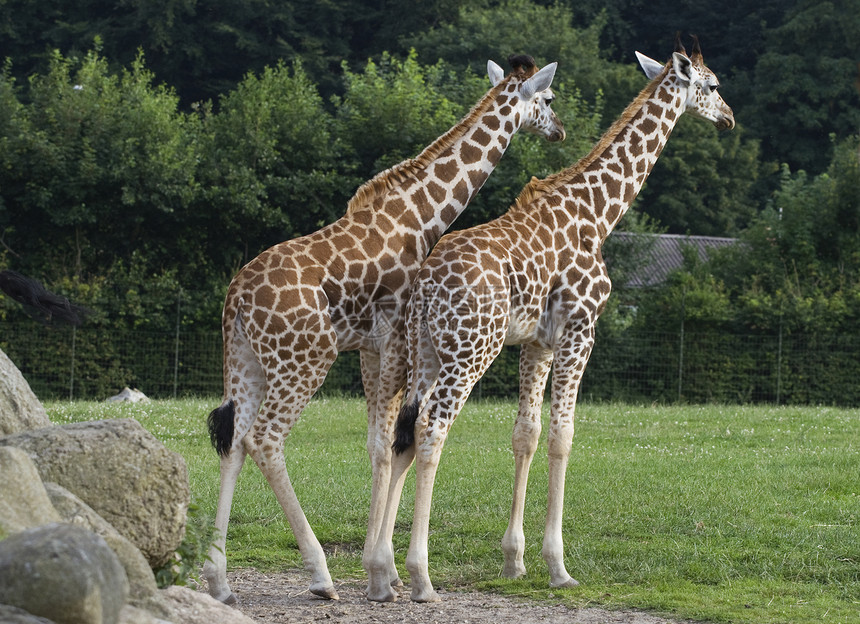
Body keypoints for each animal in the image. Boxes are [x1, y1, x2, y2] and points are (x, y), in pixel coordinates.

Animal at [201, 54, 564, 604]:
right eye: (546, 99)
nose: (560, 130)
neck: (421, 217)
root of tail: (237, 297)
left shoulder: (371, 347)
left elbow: (377, 444)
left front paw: (385, 571)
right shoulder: (394, 339)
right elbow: (391, 442)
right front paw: (383, 575)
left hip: (246, 360)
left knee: (235, 440)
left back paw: (219, 581)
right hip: (306, 358)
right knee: (265, 439)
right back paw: (320, 575)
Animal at [372, 36, 736, 604]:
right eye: (713, 84)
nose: (729, 118)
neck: (598, 215)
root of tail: (427, 285)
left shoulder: (536, 342)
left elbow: (527, 432)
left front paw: (514, 560)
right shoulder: (580, 329)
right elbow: (563, 436)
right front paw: (558, 566)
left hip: (426, 351)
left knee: (404, 433)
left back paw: (383, 572)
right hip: (471, 349)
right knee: (433, 430)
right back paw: (420, 577)